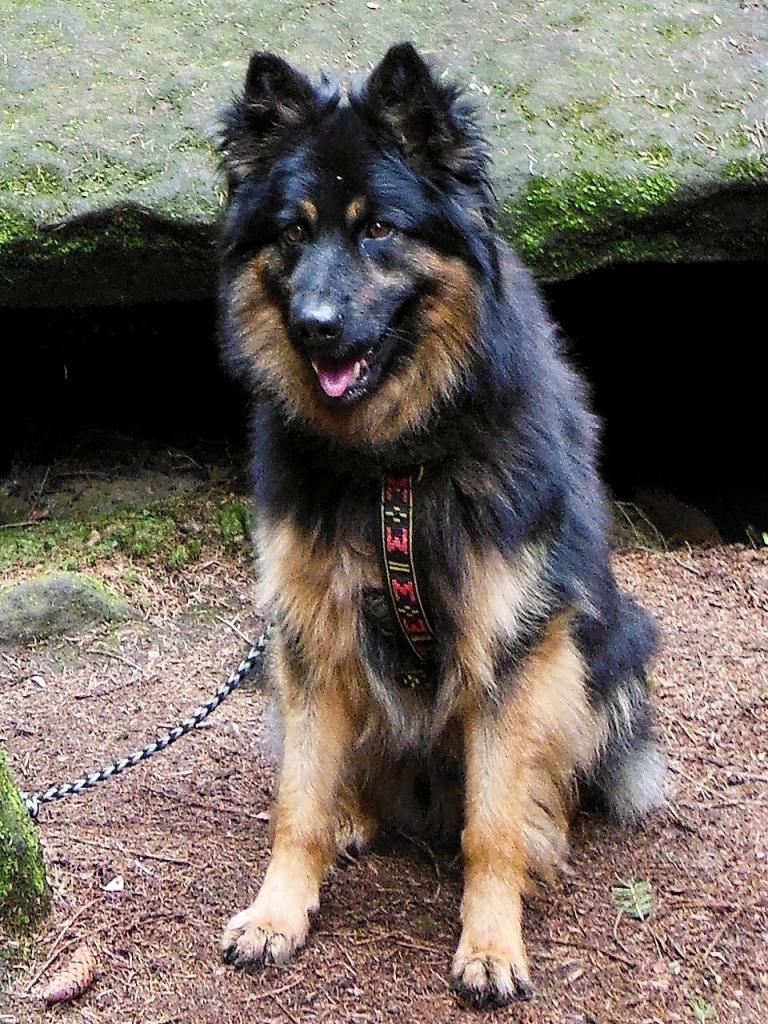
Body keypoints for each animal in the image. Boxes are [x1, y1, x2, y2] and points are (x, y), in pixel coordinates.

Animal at [216, 43, 665, 1008]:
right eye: (294, 233)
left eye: (379, 229)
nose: (314, 326)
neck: (396, 462)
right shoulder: (308, 630)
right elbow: (295, 803)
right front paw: (277, 914)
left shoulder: (511, 637)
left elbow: (491, 825)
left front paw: (492, 944)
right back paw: (354, 814)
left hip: (608, 647)